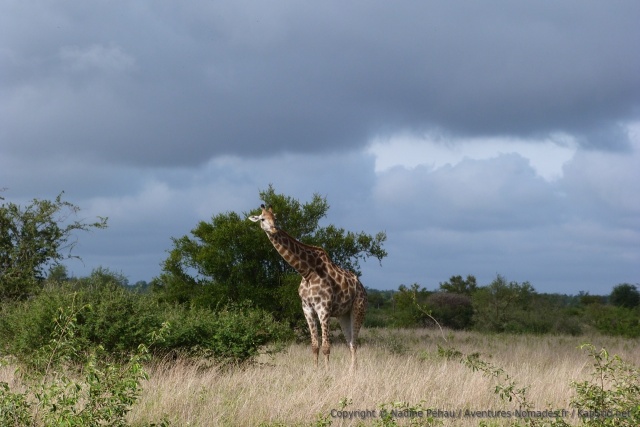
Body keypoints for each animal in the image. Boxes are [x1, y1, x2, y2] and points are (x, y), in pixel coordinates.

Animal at [249, 204, 367, 370]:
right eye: (262, 219)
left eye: (275, 218)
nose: (273, 229)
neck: (307, 272)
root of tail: (361, 287)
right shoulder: (307, 309)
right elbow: (315, 346)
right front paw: (316, 371)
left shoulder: (324, 309)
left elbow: (326, 347)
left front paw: (327, 372)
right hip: (343, 315)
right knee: (350, 342)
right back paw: (351, 372)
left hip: (358, 309)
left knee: (354, 343)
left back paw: (353, 372)